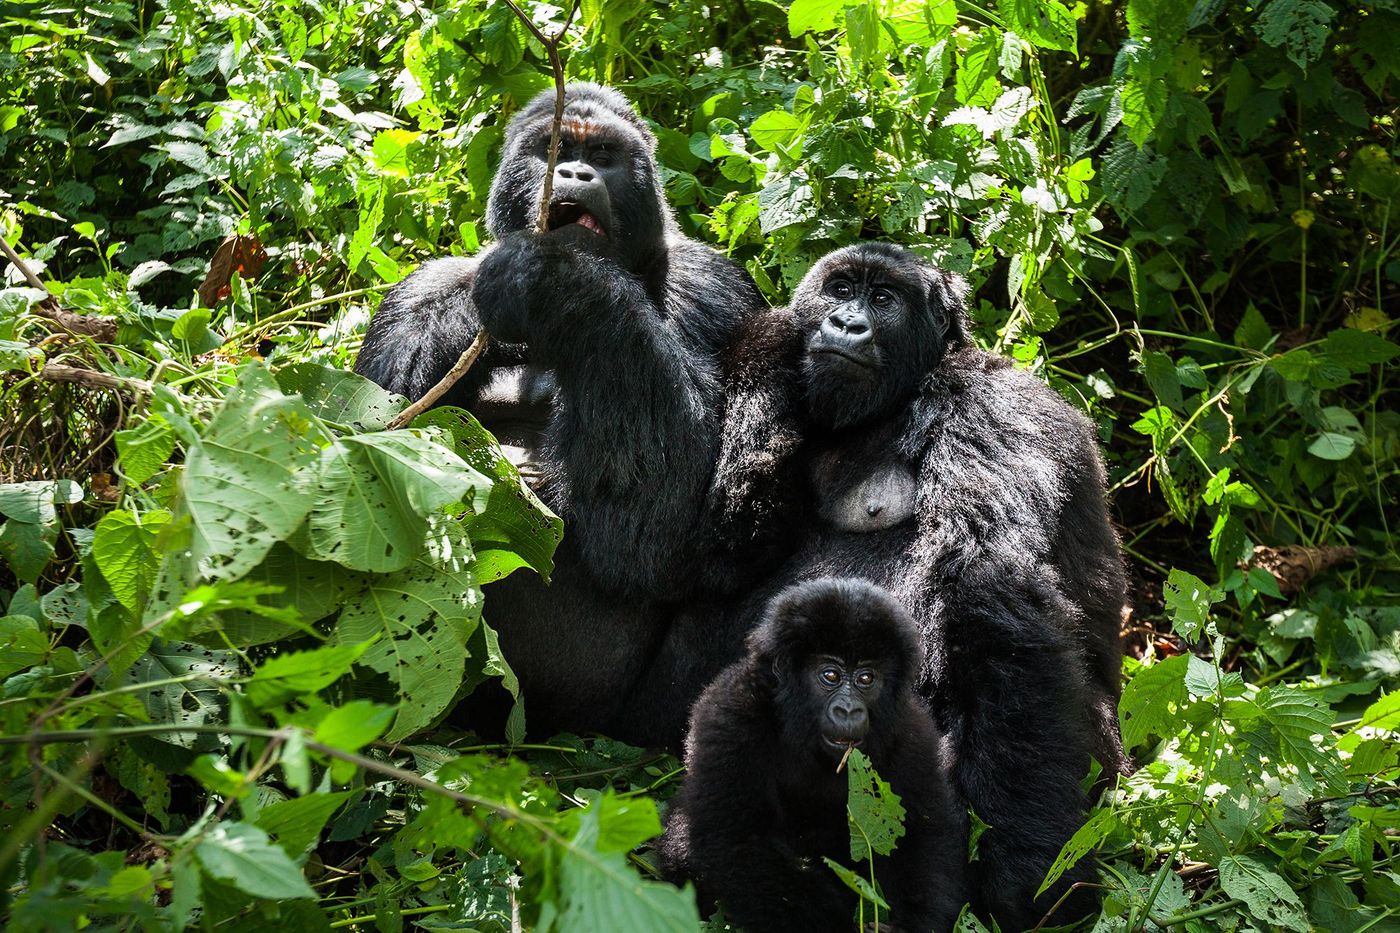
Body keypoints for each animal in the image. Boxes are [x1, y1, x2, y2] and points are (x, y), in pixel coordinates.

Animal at [655, 574, 963, 930]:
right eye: (830, 675)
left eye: (866, 678)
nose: (848, 710)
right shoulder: (731, 712)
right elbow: (737, 839)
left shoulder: (912, 731)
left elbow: (922, 834)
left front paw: (916, 924)